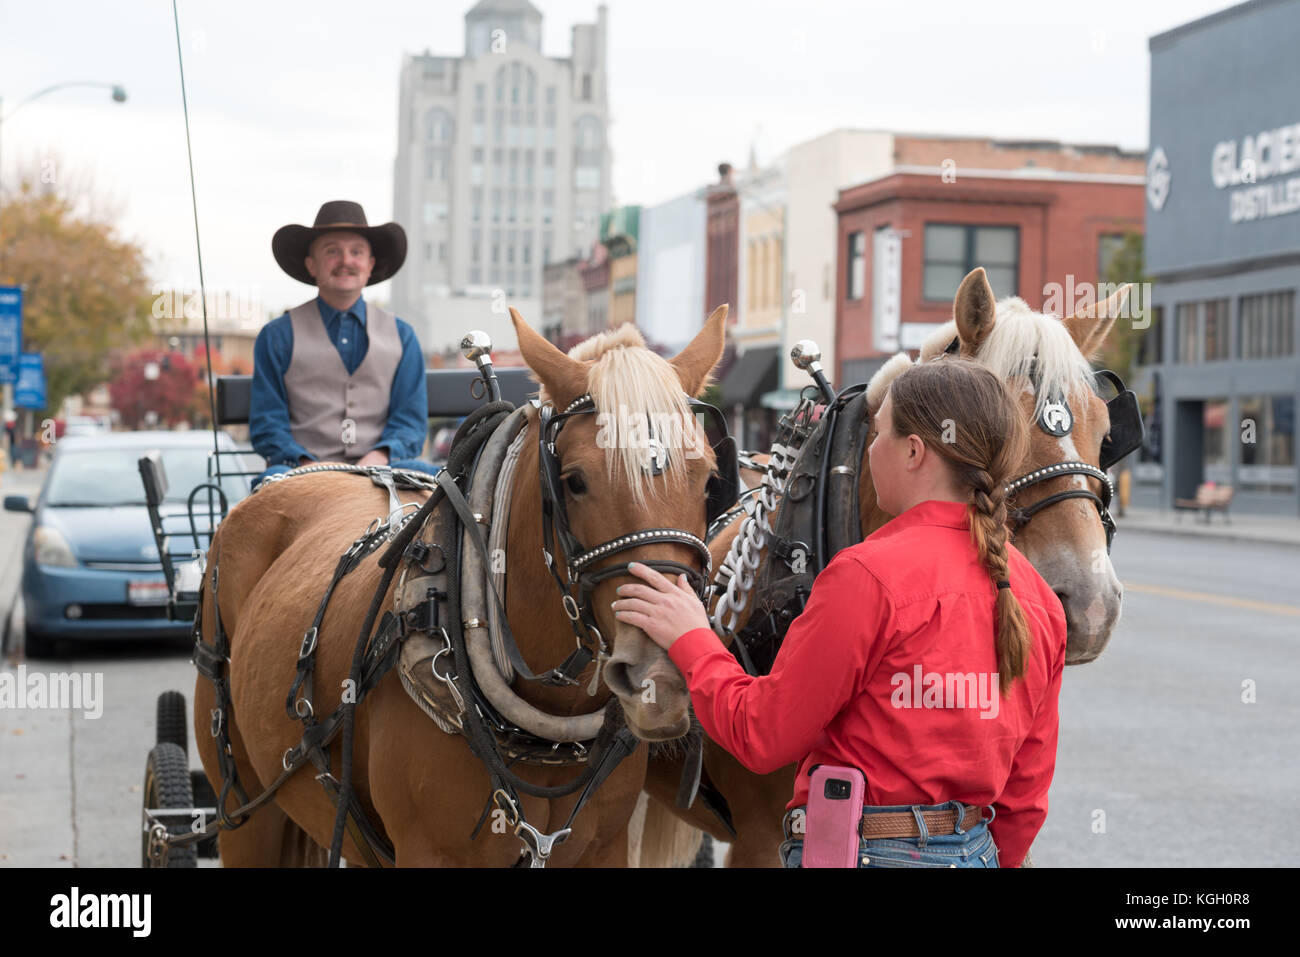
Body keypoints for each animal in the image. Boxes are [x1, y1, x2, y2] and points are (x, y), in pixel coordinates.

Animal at [197, 306, 738, 868]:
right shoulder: (428, 853)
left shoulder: (605, 849)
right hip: (247, 815)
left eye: (710, 480)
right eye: (574, 480)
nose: (661, 678)